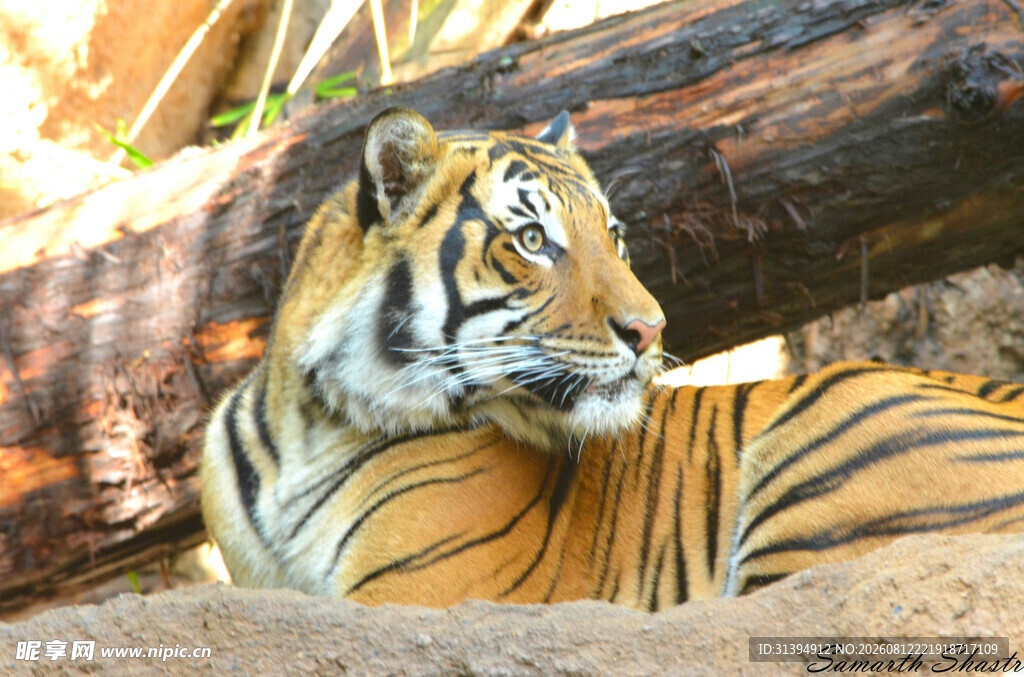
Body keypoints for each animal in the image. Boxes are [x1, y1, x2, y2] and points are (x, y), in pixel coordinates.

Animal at [201, 108, 1024, 609]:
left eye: (614, 236)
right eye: (533, 240)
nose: (650, 328)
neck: (312, 422)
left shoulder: (411, 595)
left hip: (841, 435)